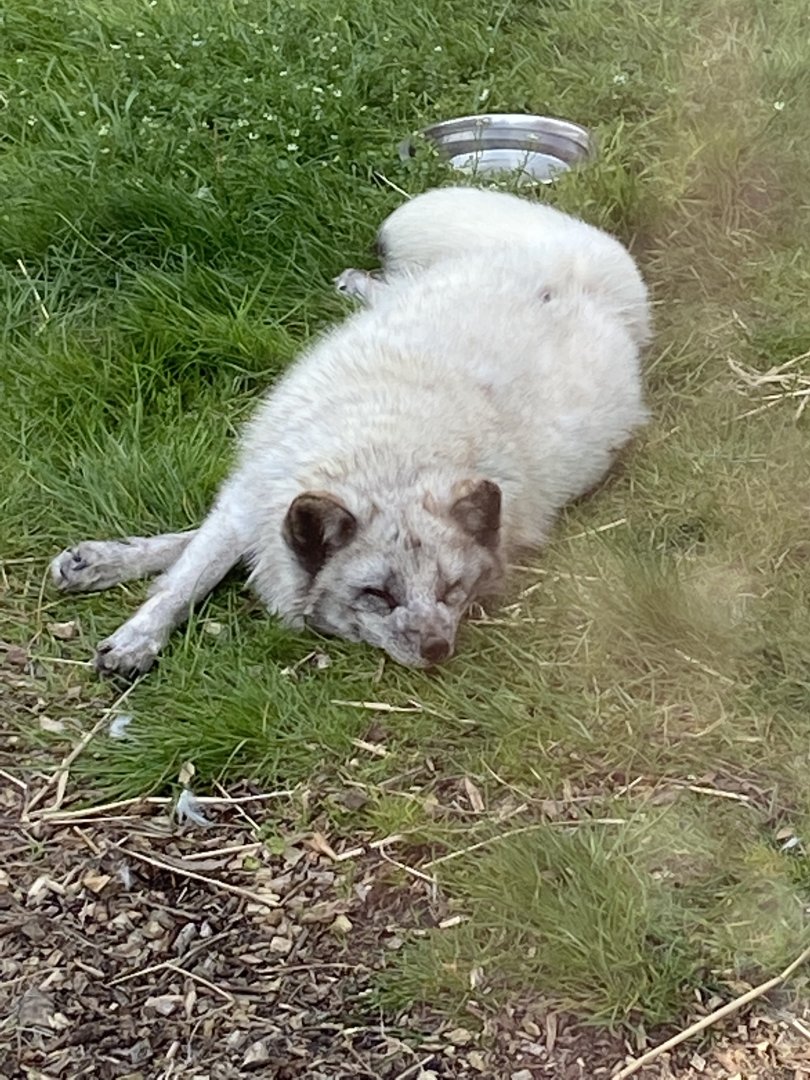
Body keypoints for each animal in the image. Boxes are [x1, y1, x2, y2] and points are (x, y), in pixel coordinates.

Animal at [50, 185, 651, 677]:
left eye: (452, 591)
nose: (438, 650)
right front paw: (135, 629)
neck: (390, 464)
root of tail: (584, 263)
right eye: (377, 595)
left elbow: (209, 552)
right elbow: (189, 574)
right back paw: (358, 283)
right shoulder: (253, 490)